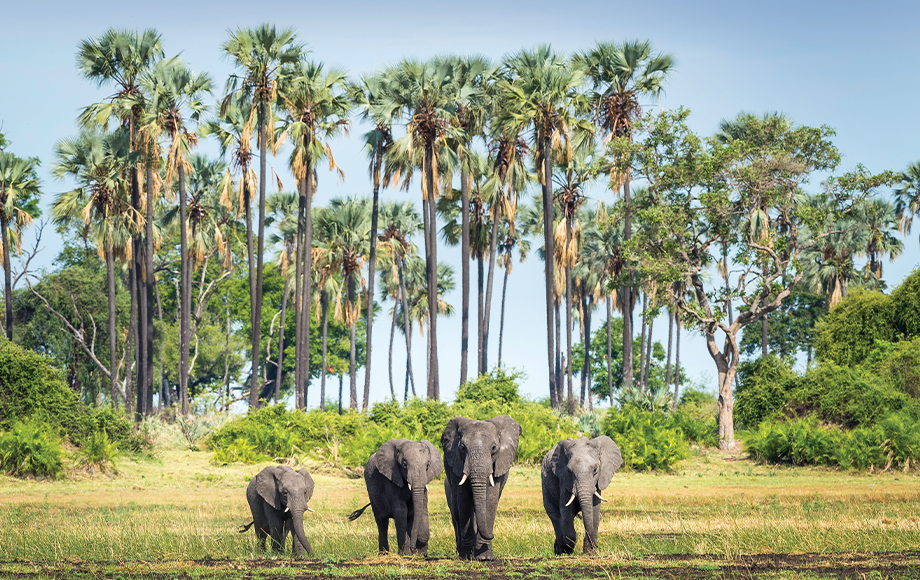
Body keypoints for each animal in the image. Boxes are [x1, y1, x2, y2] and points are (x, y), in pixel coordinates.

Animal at [442, 414, 520, 560]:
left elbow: (490, 499)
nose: (492, 534)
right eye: (462, 447)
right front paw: (467, 557)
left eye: (494, 448)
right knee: (456, 513)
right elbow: (464, 500)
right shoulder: (456, 464)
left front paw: (485, 557)